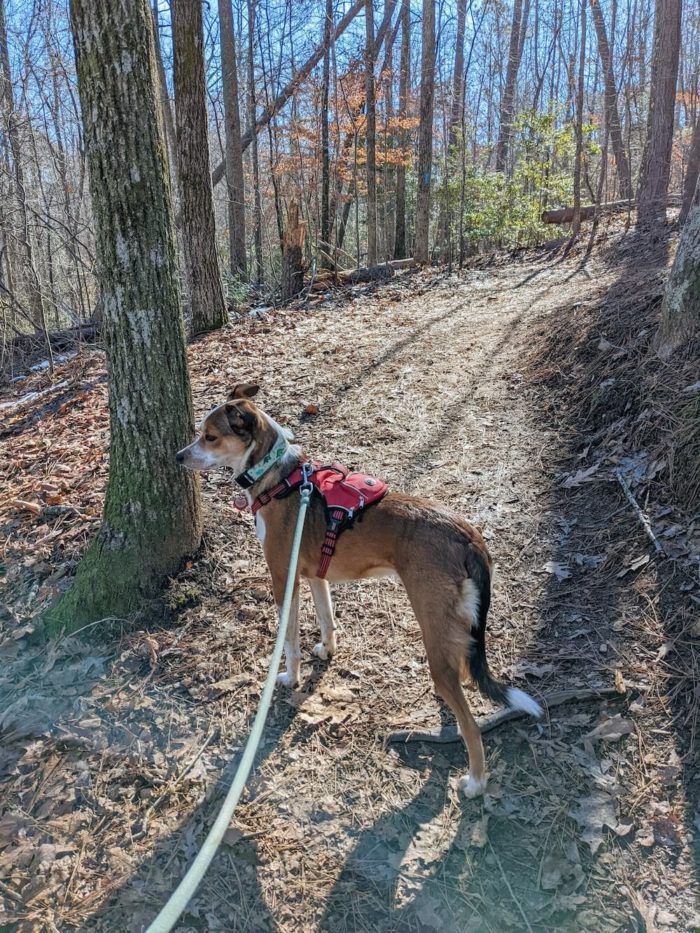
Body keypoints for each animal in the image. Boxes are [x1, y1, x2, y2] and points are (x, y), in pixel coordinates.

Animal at [176, 382, 540, 796]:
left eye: (210, 437)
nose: (178, 457)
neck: (279, 478)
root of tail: (468, 535)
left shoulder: (284, 578)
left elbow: (290, 641)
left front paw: (290, 678)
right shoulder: (315, 576)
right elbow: (327, 617)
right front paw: (327, 651)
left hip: (432, 624)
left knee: (471, 723)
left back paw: (476, 781)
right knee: (461, 670)